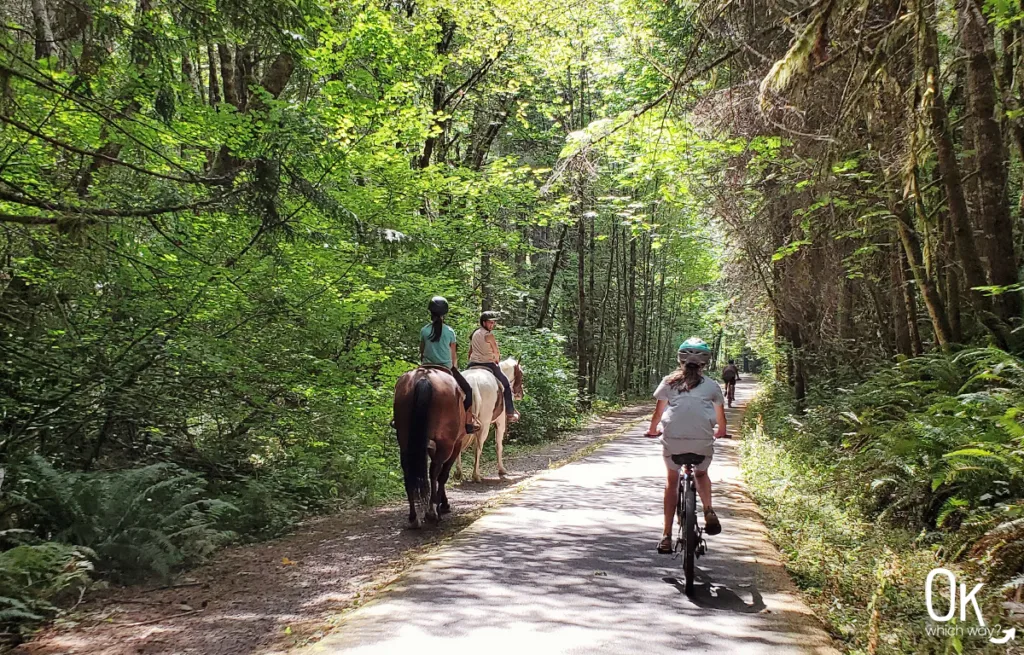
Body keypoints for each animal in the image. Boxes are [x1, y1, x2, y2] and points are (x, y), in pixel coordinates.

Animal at [391, 368, 471, 528]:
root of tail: (424, 377)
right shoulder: (456, 444)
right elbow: (443, 474)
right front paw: (443, 505)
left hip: (405, 441)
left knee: (408, 472)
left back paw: (414, 517)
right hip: (446, 443)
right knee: (435, 471)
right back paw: (433, 512)